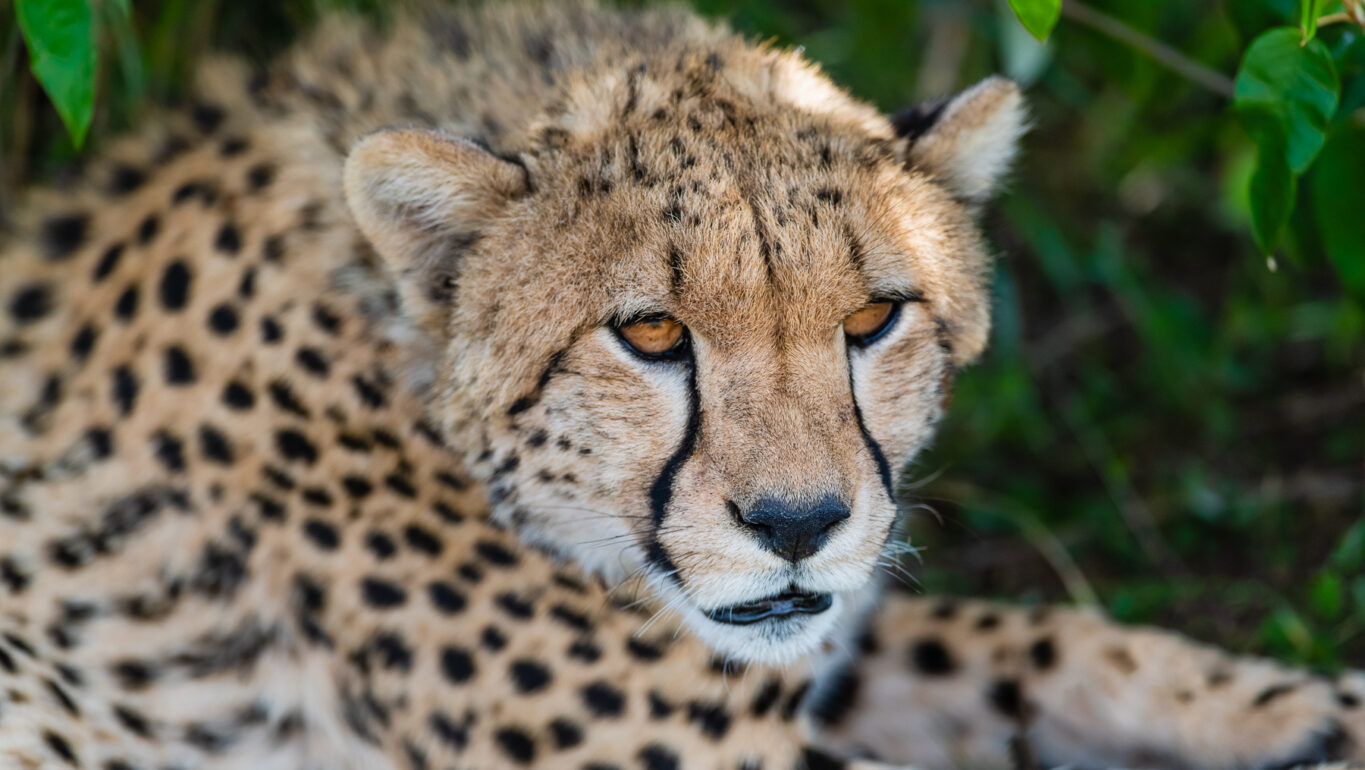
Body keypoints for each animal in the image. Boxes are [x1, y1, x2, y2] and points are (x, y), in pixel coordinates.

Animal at [0, 1, 1359, 770]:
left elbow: (1031, 639)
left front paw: (1317, 709)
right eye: (650, 331)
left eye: (872, 317)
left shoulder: (807, 628)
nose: (798, 524)